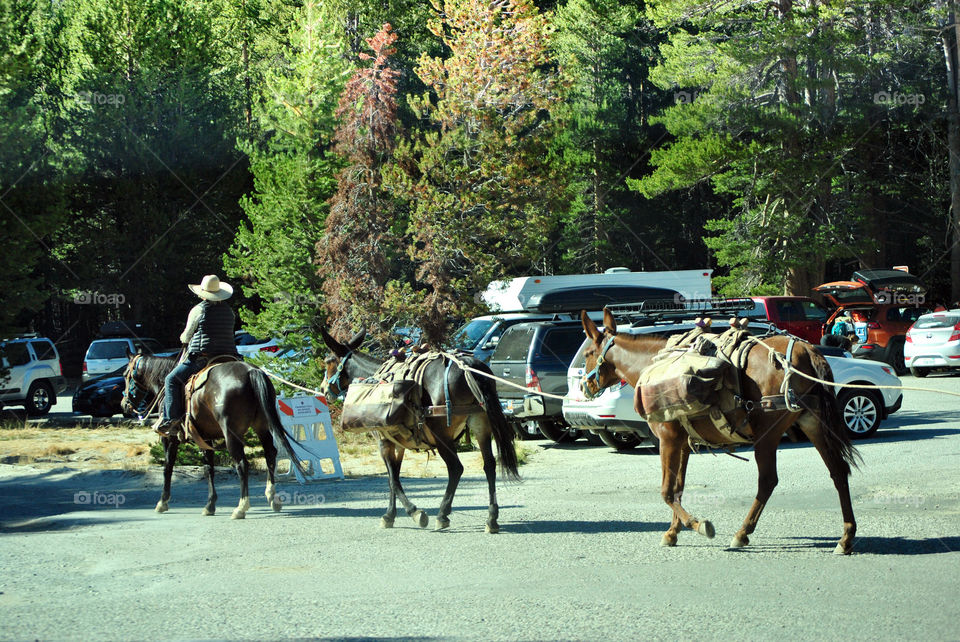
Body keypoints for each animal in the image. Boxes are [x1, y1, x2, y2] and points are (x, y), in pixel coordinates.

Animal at [122, 352, 304, 516]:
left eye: (125, 375)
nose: (124, 404)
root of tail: (251, 371)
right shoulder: (205, 438)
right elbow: (209, 469)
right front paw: (210, 505)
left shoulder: (169, 439)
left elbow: (168, 468)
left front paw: (162, 502)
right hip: (262, 427)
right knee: (270, 454)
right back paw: (272, 498)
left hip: (231, 434)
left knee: (242, 464)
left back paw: (241, 507)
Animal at [320, 328, 516, 532]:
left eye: (328, 362)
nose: (323, 388)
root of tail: (468, 367)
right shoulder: (398, 444)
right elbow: (395, 475)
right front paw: (391, 515)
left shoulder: (383, 442)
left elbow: (392, 479)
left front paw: (413, 513)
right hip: (480, 426)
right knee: (489, 465)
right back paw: (491, 518)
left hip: (442, 434)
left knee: (456, 468)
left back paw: (442, 514)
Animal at [580, 308, 860, 552]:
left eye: (588, 353)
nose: (584, 385)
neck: (651, 364)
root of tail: (807, 350)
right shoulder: (683, 443)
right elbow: (678, 488)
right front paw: (672, 532)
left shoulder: (668, 439)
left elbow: (667, 492)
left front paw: (698, 525)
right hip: (813, 424)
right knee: (838, 472)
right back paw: (846, 537)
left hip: (767, 434)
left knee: (768, 480)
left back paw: (742, 533)